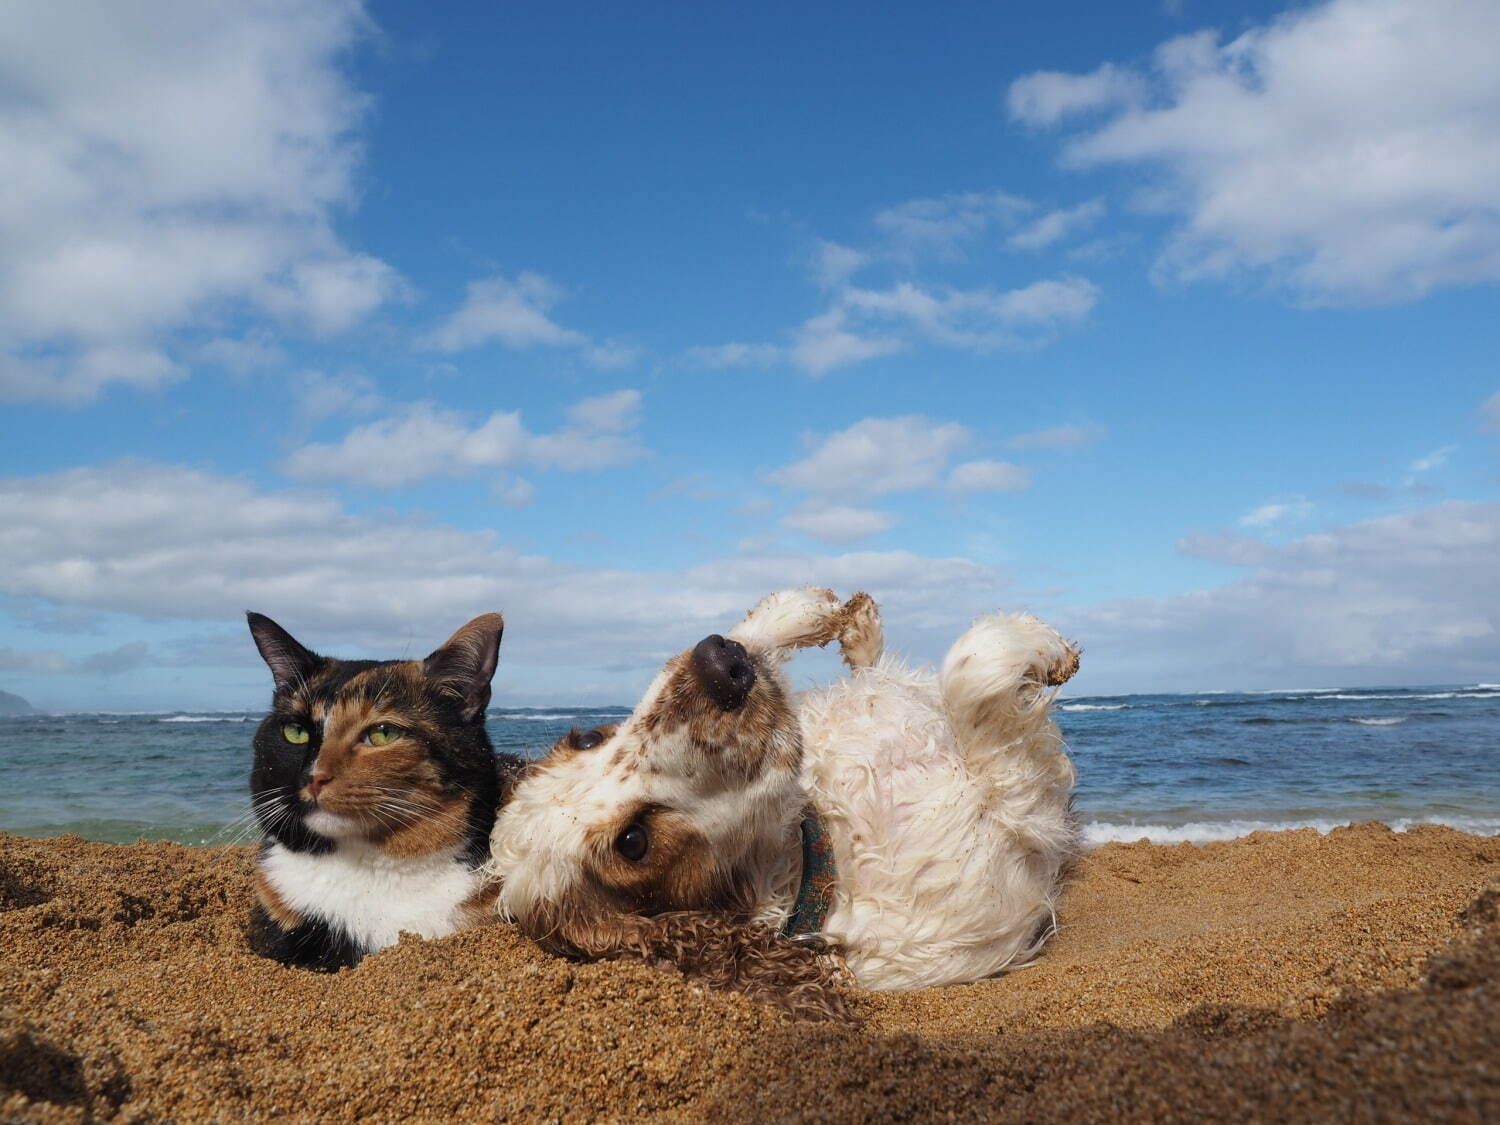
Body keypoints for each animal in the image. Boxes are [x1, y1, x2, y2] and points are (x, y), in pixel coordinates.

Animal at [489, 591, 1080, 1014]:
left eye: (588, 737)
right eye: (633, 842)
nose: (721, 667)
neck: (824, 843)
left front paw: (798, 612)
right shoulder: (1015, 832)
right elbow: (975, 667)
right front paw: (1045, 650)